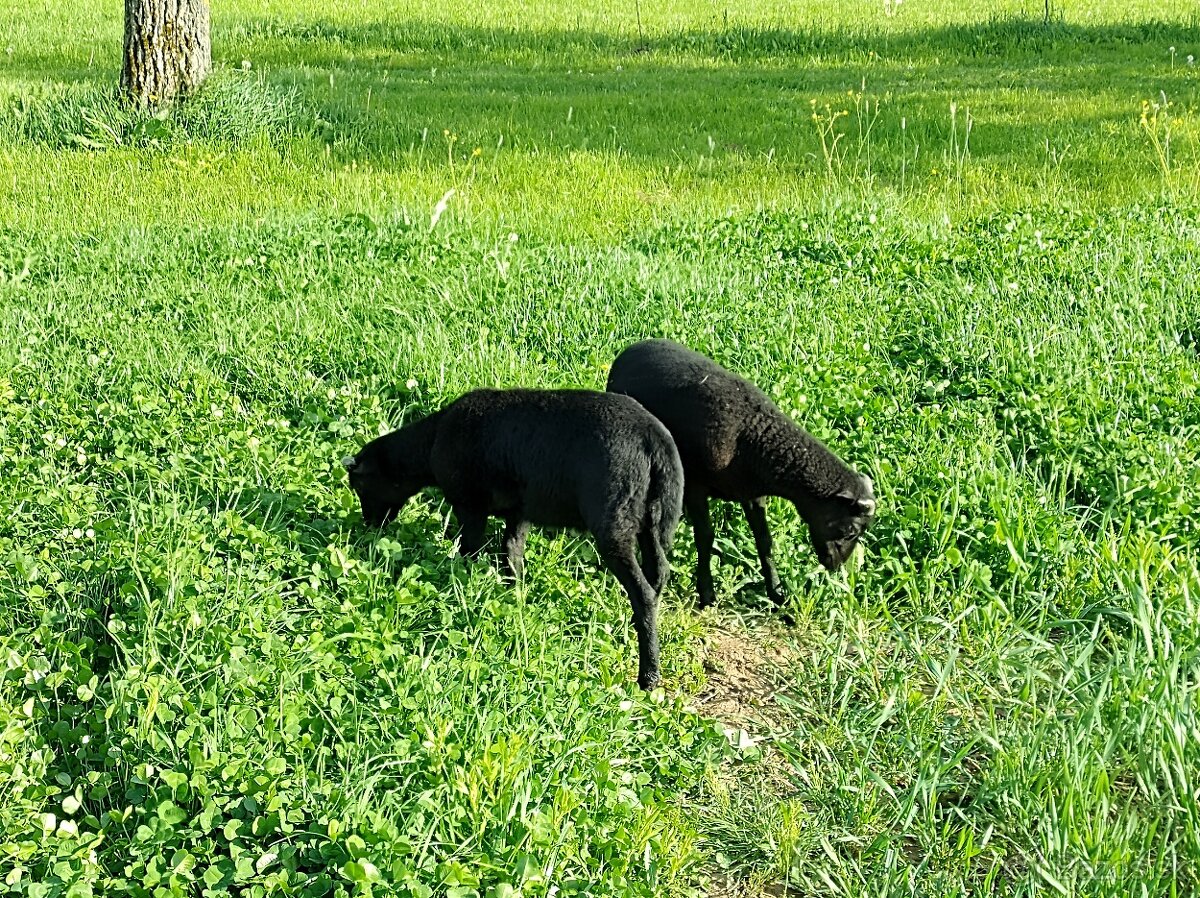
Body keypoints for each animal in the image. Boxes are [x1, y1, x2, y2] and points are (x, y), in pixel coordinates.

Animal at [345, 388, 686, 691]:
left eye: (360, 485)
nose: (369, 525)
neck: (430, 444)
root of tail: (655, 438)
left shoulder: (470, 505)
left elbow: (470, 551)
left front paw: (465, 590)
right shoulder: (519, 511)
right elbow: (511, 554)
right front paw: (514, 598)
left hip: (614, 518)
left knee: (642, 591)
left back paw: (648, 676)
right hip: (650, 519)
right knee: (658, 575)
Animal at [609, 340, 873, 609]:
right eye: (851, 531)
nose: (836, 566)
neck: (755, 437)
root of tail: (636, 346)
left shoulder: (752, 493)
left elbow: (764, 541)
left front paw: (776, 593)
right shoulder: (696, 485)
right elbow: (705, 538)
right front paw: (707, 594)